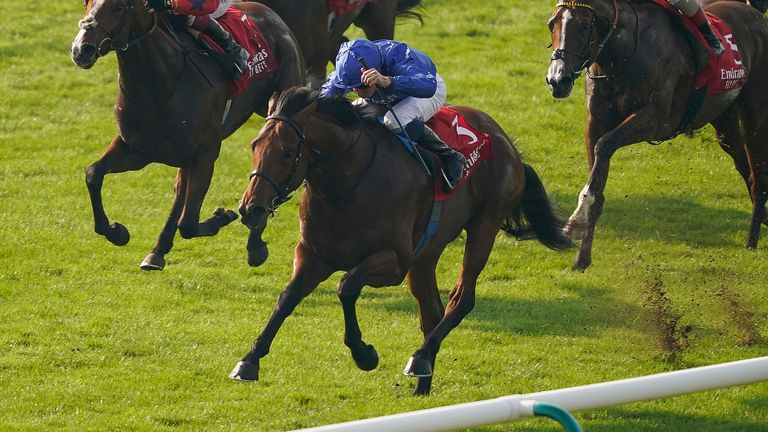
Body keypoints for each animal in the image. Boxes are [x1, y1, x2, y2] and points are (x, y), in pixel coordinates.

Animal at [70, 0, 304, 270]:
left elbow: (189, 223)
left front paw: (222, 216)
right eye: (86, 3)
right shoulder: (136, 149)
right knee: (180, 190)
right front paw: (116, 232)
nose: (81, 49)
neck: (161, 82)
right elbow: (93, 174)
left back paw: (254, 244)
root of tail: (271, 14)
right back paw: (157, 252)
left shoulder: (205, 154)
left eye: (118, 8)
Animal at [228, 87, 568, 394]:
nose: (250, 209)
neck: (347, 184)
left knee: (462, 299)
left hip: (484, 226)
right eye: (254, 145)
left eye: (287, 152)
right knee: (432, 312)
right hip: (425, 255)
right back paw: (422, 382)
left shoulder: (394, 262)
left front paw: (364, 354)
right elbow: (287, 297)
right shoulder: (313, 255)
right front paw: (249, 361)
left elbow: (347, 286)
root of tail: (504, 139)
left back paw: (419, 358)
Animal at [544, 0, 768, 270]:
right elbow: (597, 180)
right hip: (724, 120)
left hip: (755, 110)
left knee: (758, 177)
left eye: (585, 26)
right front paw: (582, 257)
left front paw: (576, 221)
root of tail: (755, 14)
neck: (621, 55)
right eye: (551, 24)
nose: (557, 79)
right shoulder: (595, 122)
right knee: (745, 167)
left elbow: (605, 145)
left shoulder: (655, 120)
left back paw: (752, 241)